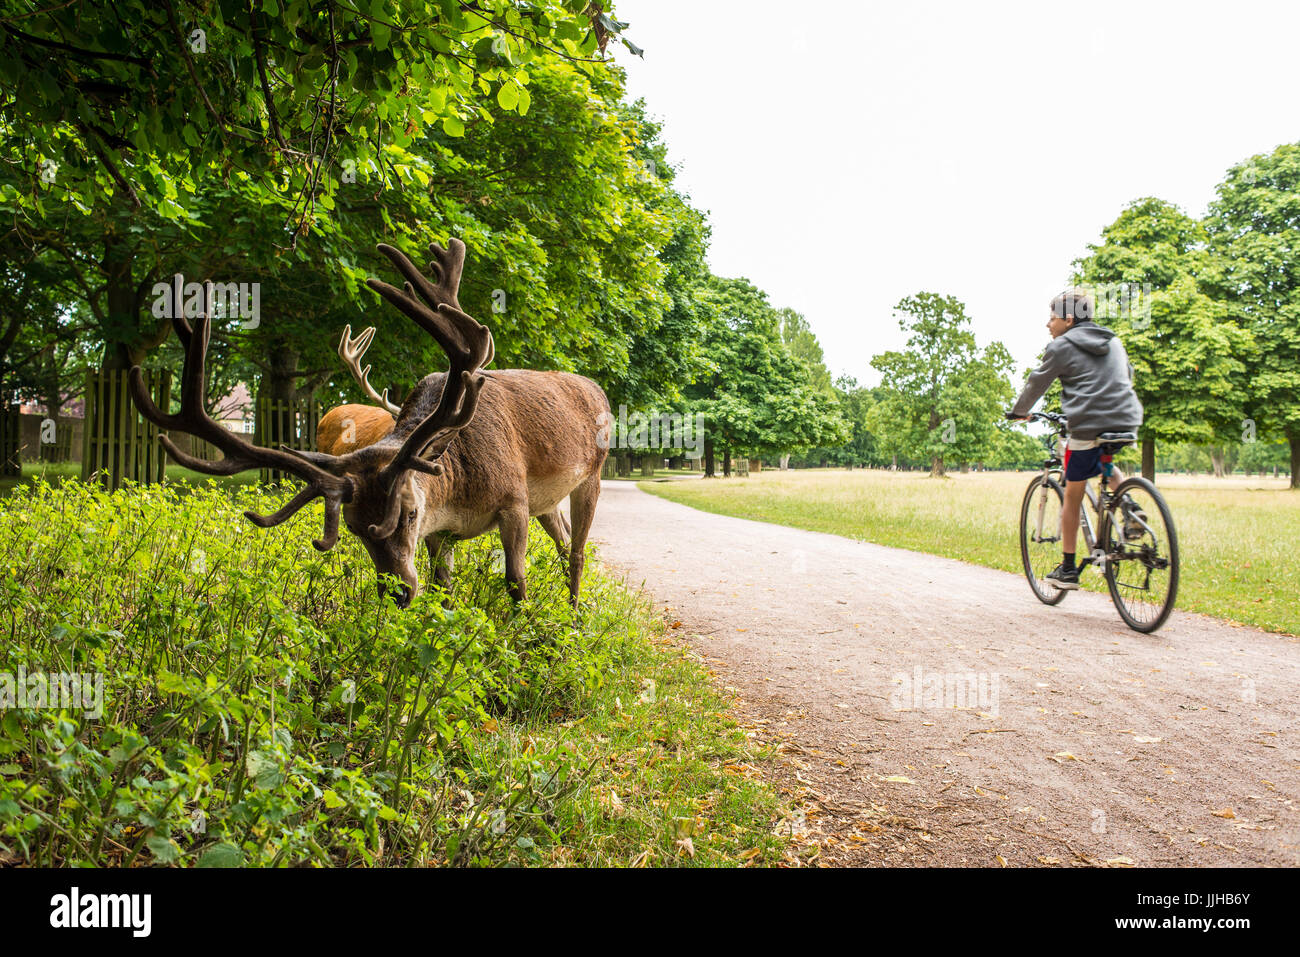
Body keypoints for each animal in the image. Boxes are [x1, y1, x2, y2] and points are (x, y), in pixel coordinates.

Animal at [133, 243, 613, 608]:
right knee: (563, 538)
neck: (457, 486)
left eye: (410, 512)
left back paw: (573, 614)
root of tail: (596, 388)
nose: (397, 593)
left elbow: (516, 582)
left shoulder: (514, 500)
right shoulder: (444, 532)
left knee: (577, 551)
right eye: (353, 527)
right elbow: (442, 588)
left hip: (591, 474)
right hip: (546, 502)